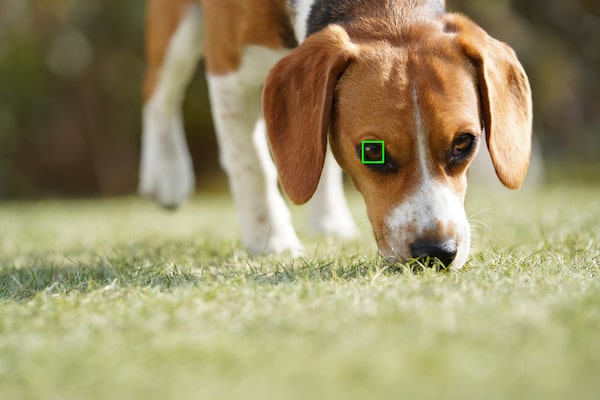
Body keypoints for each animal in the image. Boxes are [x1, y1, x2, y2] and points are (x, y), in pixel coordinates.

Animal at [139, 0, 528, 270]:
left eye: (464, 143)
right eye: (372, 151)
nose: (436, 252)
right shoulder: (228, 73)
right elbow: (251, 165)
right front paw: (271, 240)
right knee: (159, 89)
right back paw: (167, 173)